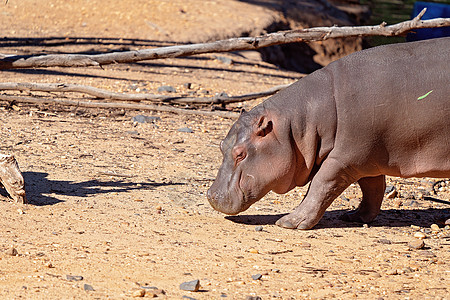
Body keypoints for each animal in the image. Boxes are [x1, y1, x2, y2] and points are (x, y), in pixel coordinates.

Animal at [207, 37, 450, 230]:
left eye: (241, 154)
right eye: (221, 146)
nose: (211, 195)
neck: (296, 126)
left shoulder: (344, 159)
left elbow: (320, 185)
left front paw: (289, 222)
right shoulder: (368, 157)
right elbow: (373, 187)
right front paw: (356, 216)